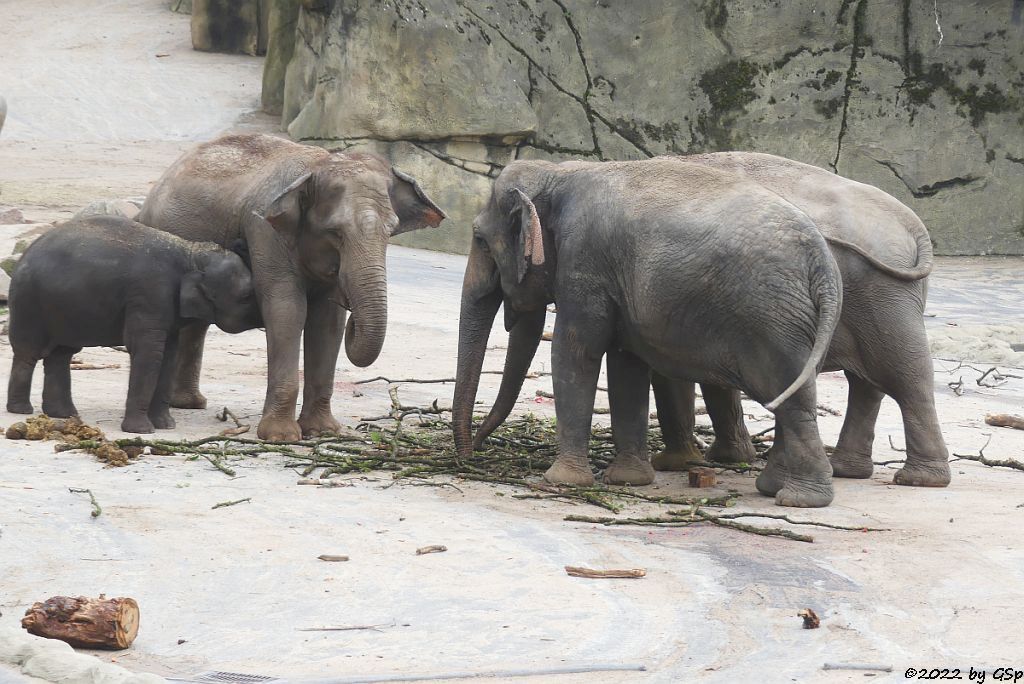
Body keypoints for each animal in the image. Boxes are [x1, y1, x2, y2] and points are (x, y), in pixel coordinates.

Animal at [6, 216, 262, 432]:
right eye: (247, 296)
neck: (190, 252)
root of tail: (22, 256)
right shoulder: (149, 293)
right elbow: (147, 353)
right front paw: (142, 430)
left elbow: (168, 355)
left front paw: (166, 426)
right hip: (28, 302)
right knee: (28, 353)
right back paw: (21, 410)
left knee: (61, 354)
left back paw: (64, 415)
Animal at [140, 136, 448, 440]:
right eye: (335, 232)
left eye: (390, 231)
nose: (353, 315)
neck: (319, 164)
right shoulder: (265, 231)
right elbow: (288, 310)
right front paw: (281, 437)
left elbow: (327, 322)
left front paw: (322, 432)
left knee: (196, 322)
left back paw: (189, 403)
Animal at [452, 157, 843, 505]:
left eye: (480, 240)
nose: (472, 453)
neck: (558, 172)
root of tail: (823, 265)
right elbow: (626, 363)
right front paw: (629, 480)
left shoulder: (585, 261)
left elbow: (576, 353)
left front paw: (561, 481)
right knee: (795, 400)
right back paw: (774, 488)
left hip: (772, 322)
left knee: (788, 399)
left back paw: (799, 499)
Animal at [647, 152, 950, 489]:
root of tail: (911, 223)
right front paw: (729, 458)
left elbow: (668, 372)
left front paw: (671, 463)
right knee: (867, 381)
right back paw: (846, 470)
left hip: (885, 296)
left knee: (904, 374)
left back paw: (919, 479)